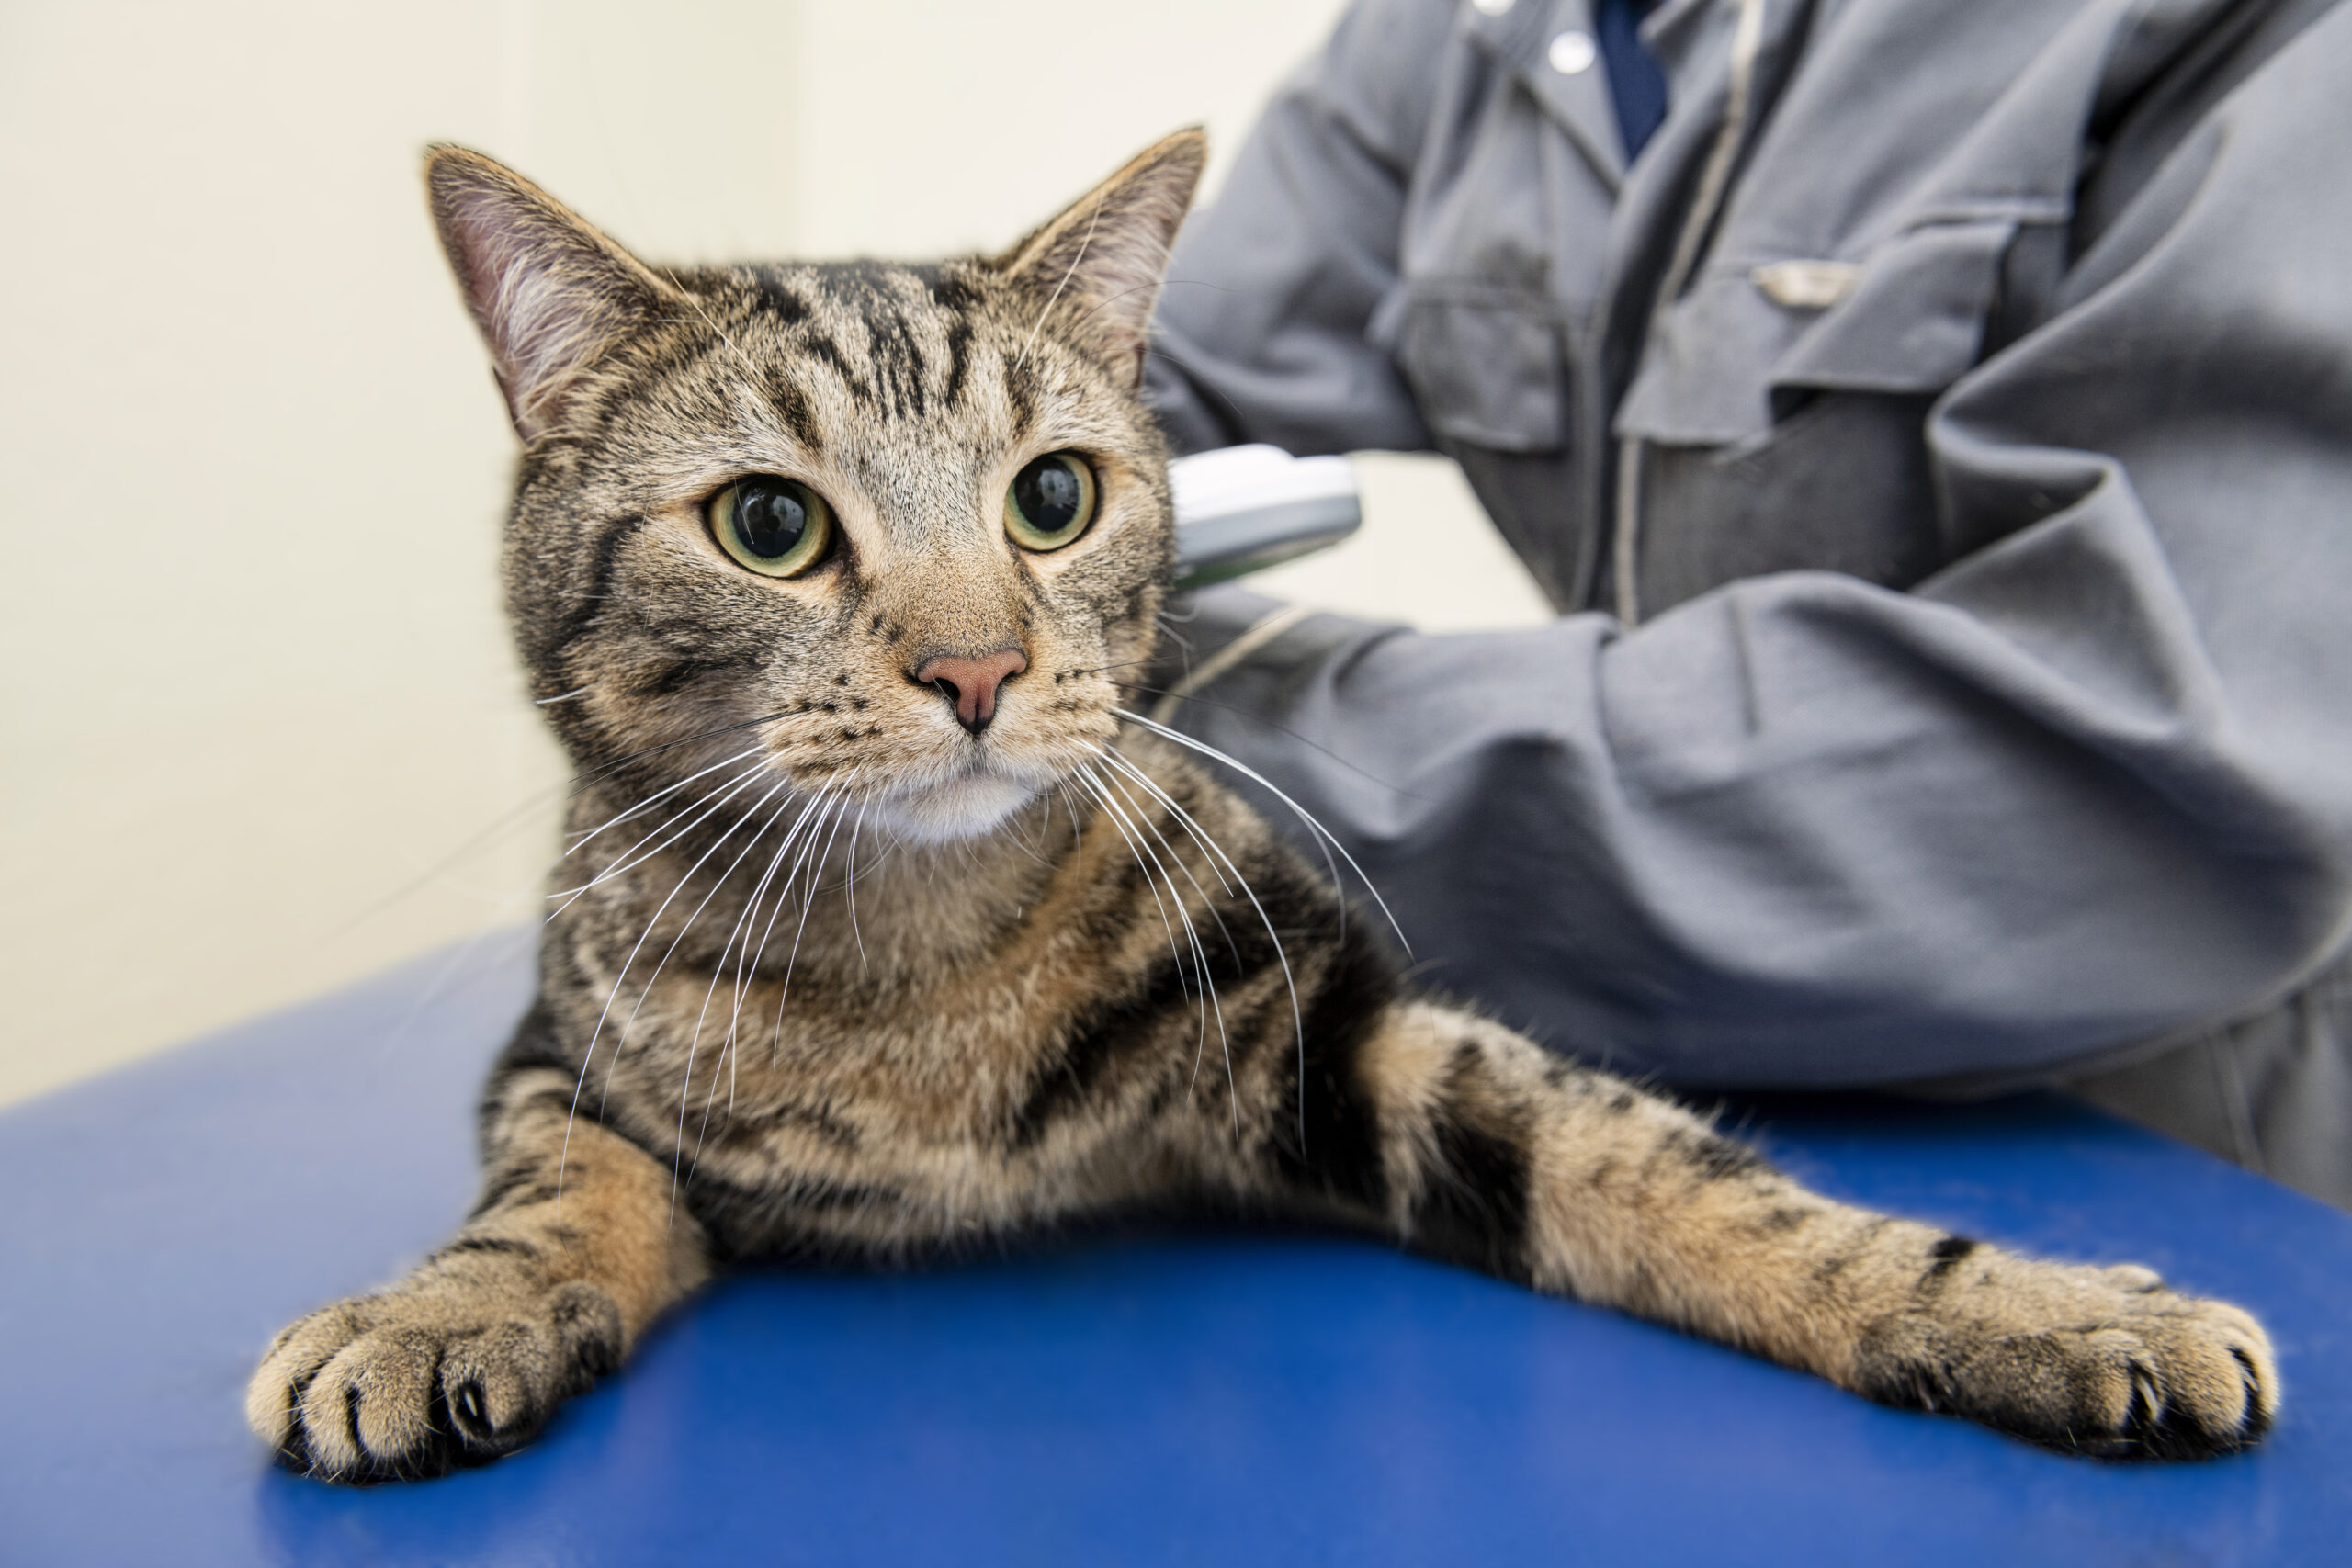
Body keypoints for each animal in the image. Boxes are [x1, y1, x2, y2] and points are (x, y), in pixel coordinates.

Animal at [243, 129, 2277, 1476]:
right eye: (765, 523)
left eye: (1053, 496)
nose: (975, 670)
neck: (919, 972)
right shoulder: (554, 1051)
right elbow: (559, 1183)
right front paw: (433, 1311)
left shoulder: (1348, 1031)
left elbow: (1685, 1175)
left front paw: (2042, 1308)